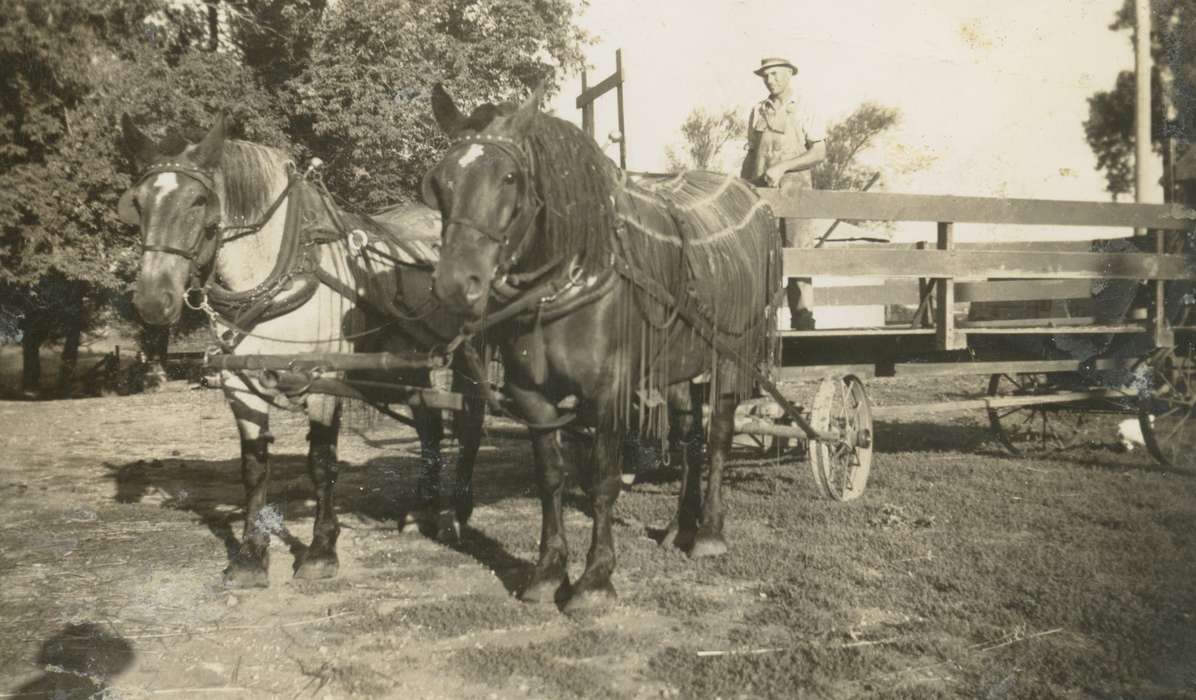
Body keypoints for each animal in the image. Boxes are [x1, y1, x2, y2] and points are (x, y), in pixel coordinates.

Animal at [116, 117, 480, 586]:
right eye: (138, 203)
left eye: (198, 200)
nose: (152, 301)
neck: (279, 271)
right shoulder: (238, 381)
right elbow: (254, 467)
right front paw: (250, 555)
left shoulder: (323, 377)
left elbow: (321, 461)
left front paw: (321, 550)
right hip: (409, 359)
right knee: (430, 425)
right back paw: (423, 510)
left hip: (467, 353)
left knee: (470, 421)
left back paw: (460, 508)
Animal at [425, 86, 779, 612]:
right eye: (440, 181)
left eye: (509, 177)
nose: (454, 286)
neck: (574, 274)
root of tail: (753, 201)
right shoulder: (531, 395)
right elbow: (551, 477)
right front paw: (549, 571)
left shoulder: (609, 393)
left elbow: (603, 481)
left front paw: (594, 578)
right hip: (678, 367)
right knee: (690, 436)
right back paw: (680, 525)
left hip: (731, 358)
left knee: (717, 436)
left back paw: (710, 532)